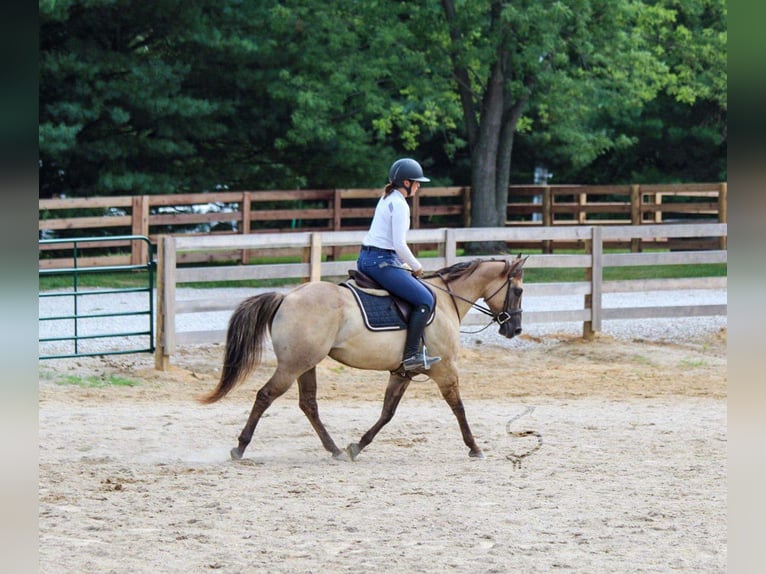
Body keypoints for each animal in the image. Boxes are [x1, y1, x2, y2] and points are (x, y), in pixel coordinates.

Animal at [201, 254, 532, 462]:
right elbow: (459, 408)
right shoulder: (446, 370)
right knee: (265, 395)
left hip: (306, 364)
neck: (446, 299)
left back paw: (334, 449)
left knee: (308, 404)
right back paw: (240, 448)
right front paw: (475, 447)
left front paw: (357, 446)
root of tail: (287, 296)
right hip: (294, 364)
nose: (515, 329)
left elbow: (387, 413)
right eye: (518, 291)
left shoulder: (402, 373)